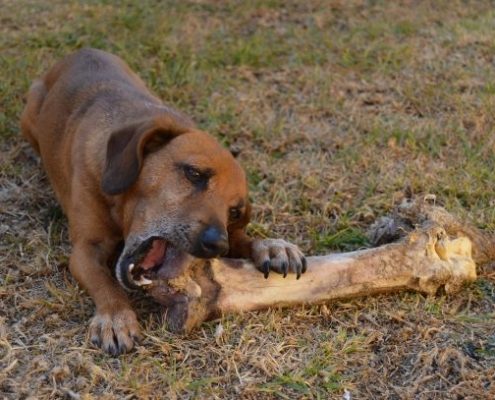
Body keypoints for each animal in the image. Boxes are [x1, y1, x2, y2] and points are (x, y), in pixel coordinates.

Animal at [22, 48, 306, 354]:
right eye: (194, 174)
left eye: (233, 212)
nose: (218, 245)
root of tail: (81, 51)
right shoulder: (85, 250)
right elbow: (105, 283)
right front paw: (116, 317)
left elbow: (244, 239)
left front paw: (272, 246)